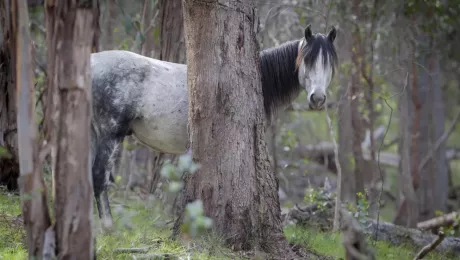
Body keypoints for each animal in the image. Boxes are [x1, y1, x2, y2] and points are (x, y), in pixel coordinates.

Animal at [90, 24, 340, 228]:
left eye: (329, 63)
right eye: (307, 60)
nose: (318, 99)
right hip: (109, 135)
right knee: (99, 177)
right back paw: (109, 228)